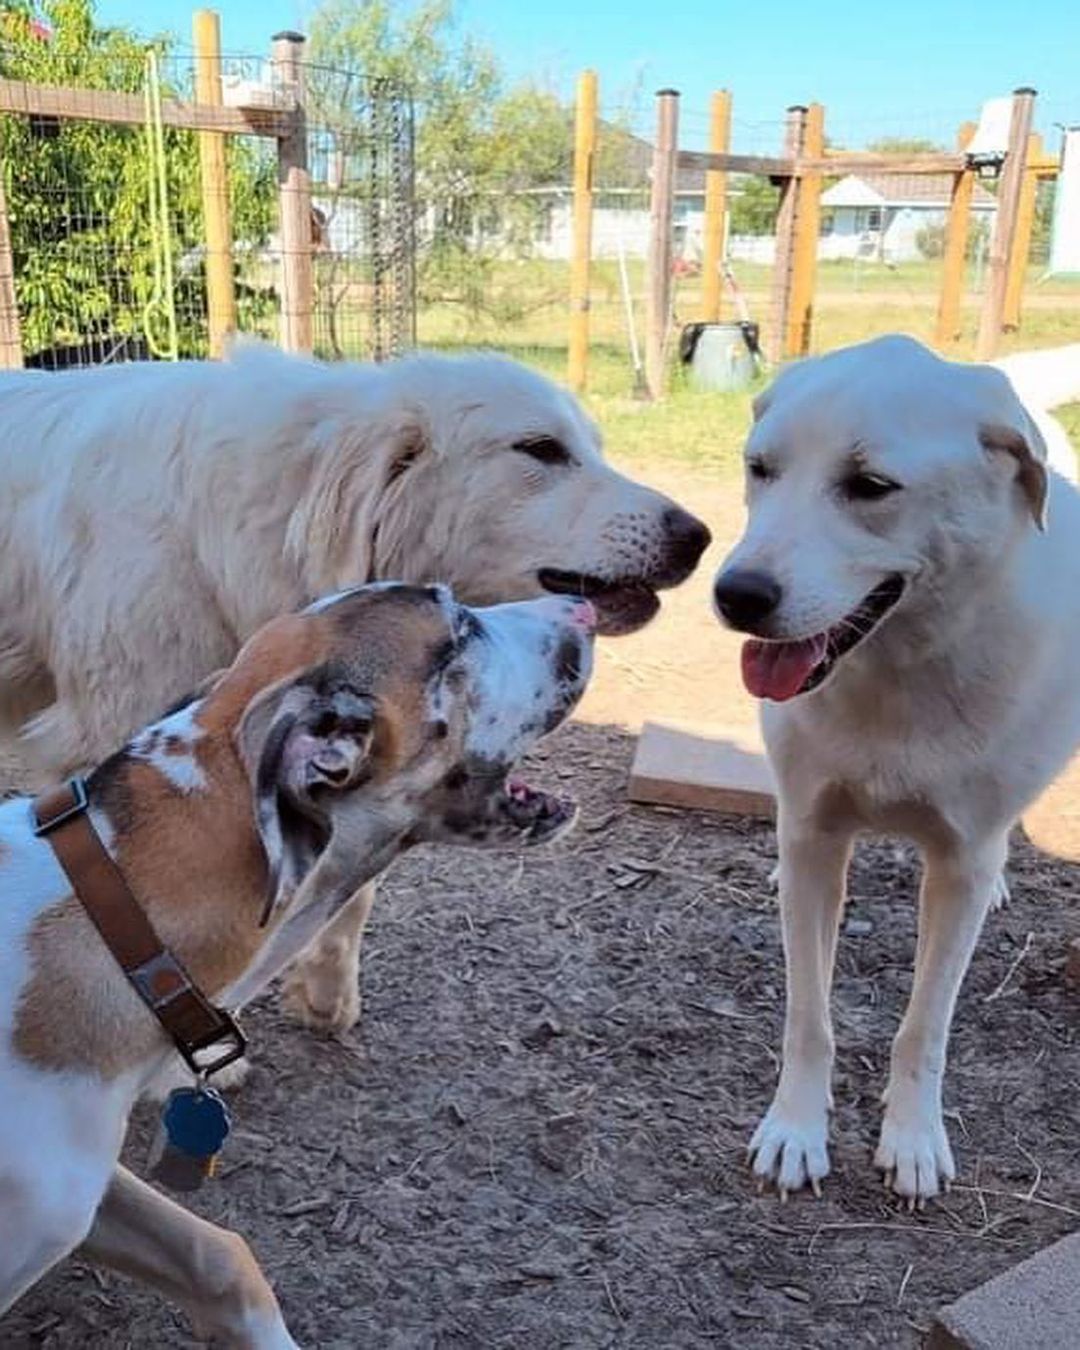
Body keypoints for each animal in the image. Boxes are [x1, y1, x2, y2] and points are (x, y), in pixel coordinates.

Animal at [718, 334, 1080, 1204]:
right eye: (760, 468)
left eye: (871, 487)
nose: (735, 595)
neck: (900, 668)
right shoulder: (817, 835)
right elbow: (808, 1016)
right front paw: (796, 1131)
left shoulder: (957, 866)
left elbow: (926, 1026)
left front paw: (913, 1139)